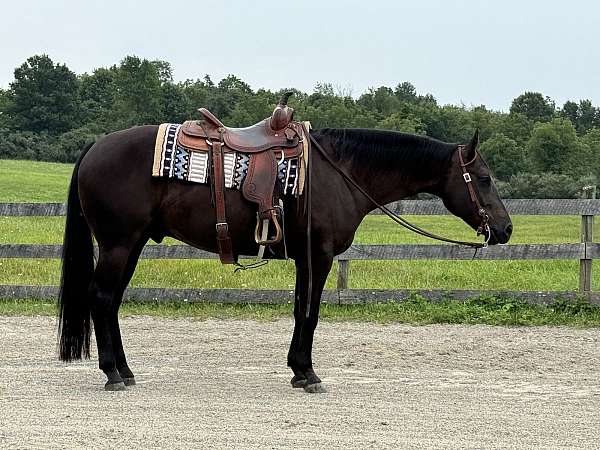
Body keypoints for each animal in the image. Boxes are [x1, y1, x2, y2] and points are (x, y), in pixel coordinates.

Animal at [58, 125, 512, 390]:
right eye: (483, 179)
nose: (506, 229)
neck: (340, 173)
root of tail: (95, 147)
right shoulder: (318, 256)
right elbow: (309, 312)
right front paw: (308, 374)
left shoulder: (305, 259)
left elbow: (299, 310)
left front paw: (297, 370)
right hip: (119, 244)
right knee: (102, 299)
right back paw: (112, 374)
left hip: (131, 246)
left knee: (111, 303)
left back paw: (126, 371)